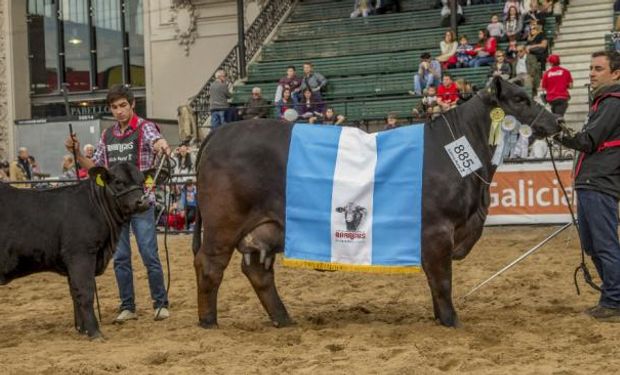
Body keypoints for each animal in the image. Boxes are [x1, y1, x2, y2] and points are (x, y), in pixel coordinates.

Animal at [0, 163, 154, 340]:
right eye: (118, 181)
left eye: (142, 181)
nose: (143, 202)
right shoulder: (80, 254)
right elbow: (85, 292)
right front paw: (94, 332)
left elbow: (74, 293)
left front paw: (82, 329)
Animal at [193, 77, 560, 328]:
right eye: (520, 99)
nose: (556, 121)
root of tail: (218, 133)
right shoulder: (437, 230)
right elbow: (442, 280)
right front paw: (451, 320)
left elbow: (435, 280)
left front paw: (440, 318)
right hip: (223, 223)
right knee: (210, 265)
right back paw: (209, 321)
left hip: (265, 229)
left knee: (258, 271)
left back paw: (283, 319)